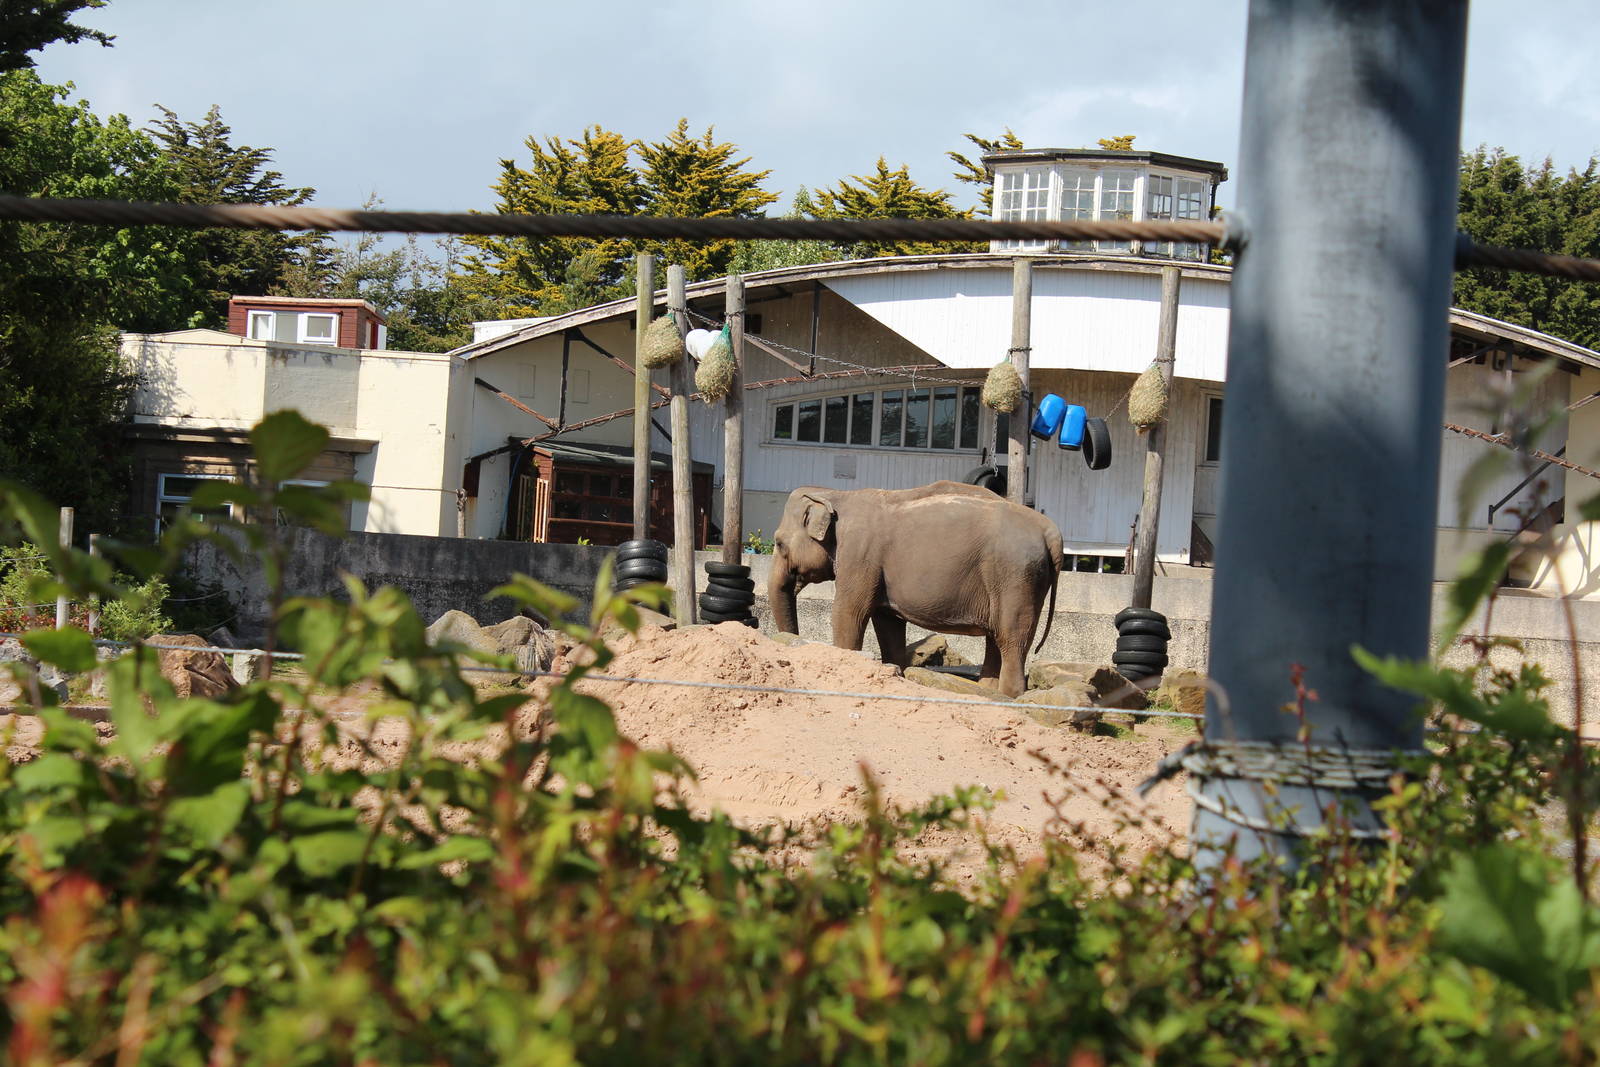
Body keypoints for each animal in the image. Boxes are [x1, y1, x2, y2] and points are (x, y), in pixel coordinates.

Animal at [767, 480, 1064, 697]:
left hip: (1016, 576)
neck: (837, 495)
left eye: (779, 543)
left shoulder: (859, 557)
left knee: (1011, 639)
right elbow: (887, 623)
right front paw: (896, 671)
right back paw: (986, 691)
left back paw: (1009, 696)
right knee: (996, 638)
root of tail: (1050, 531)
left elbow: (849, 612)